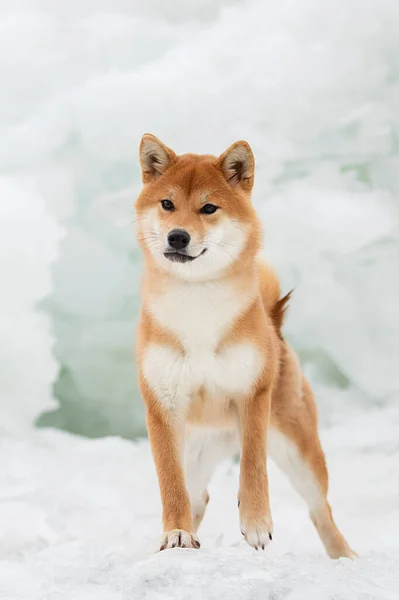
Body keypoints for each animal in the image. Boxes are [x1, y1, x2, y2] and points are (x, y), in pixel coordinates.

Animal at [135, 135, 356, 556]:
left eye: (208, 208)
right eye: (167, 204)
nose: (177, 236)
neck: (198, 307)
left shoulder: (252, 395)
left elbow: (253, 467)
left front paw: (256, 525)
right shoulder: (163, 406)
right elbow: (171, 483)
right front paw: (176, 534)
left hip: (299, 450)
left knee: (322, 512)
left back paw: (345, 558)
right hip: (197, 448)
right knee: (197, 496)